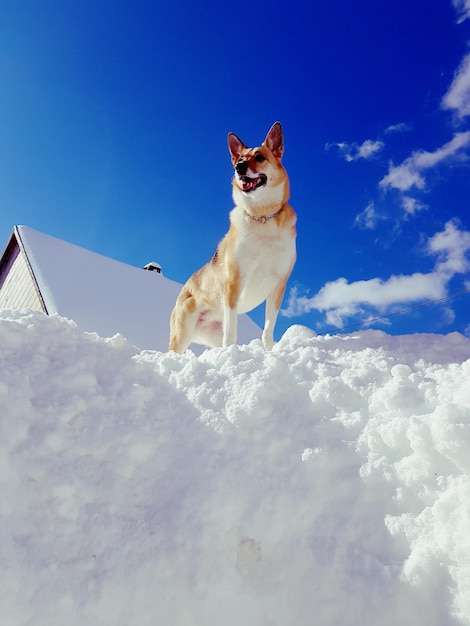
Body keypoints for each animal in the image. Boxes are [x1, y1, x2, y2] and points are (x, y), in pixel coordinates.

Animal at [167, 122, 296, 352]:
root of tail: (182, 291)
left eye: (259, 157)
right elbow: (232, 331)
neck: (262, 217)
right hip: (181, 335)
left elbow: (268, 329)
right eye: (239, 159)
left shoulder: (278, 285)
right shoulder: (235, 282)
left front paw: (268, 351)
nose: (240, 168)